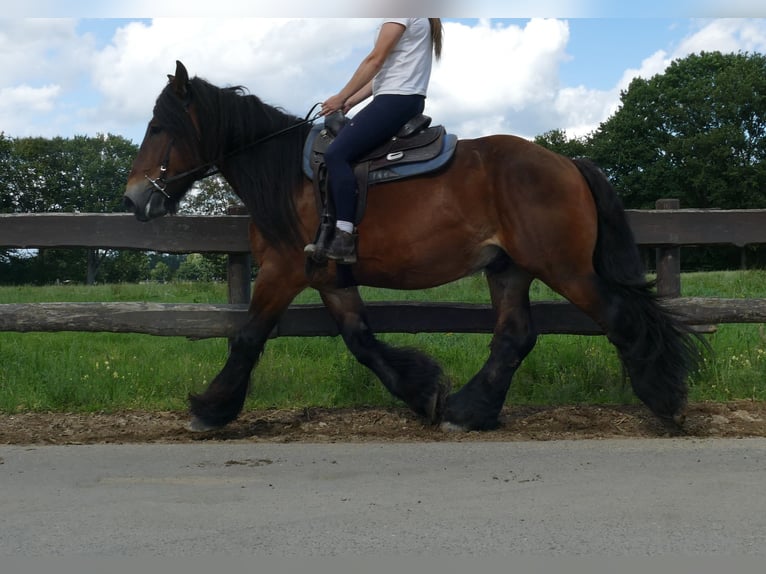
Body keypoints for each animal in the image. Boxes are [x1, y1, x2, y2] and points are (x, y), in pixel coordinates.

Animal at [124, 61, 701, 433]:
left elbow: (246, 338)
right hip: (508, 268)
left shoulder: (283, 271)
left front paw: (209, 409)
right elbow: (361, 341)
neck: (287, 177)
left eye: (158, 125)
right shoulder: (328, 276)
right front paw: (423, 392)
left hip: (565, 269)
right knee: (514, 337)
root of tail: (566, 162)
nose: (132, 198)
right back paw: (469, 413)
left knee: (618, 317)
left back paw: (666, 401)